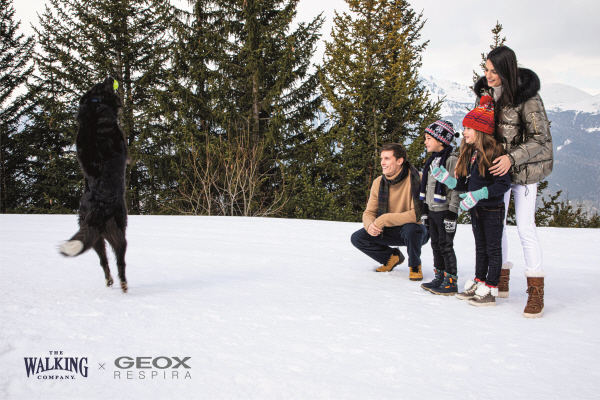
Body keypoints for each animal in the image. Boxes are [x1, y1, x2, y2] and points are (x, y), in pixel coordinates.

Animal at [60, 76, 129, 292]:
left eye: (97, 83)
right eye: (105, 85)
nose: (110, 77)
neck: (94, 104)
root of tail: (95, 209)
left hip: (94, 237)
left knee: (103, 261)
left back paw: (109, 281)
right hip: (118, 231)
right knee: (120, 259)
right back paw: (123, 284)